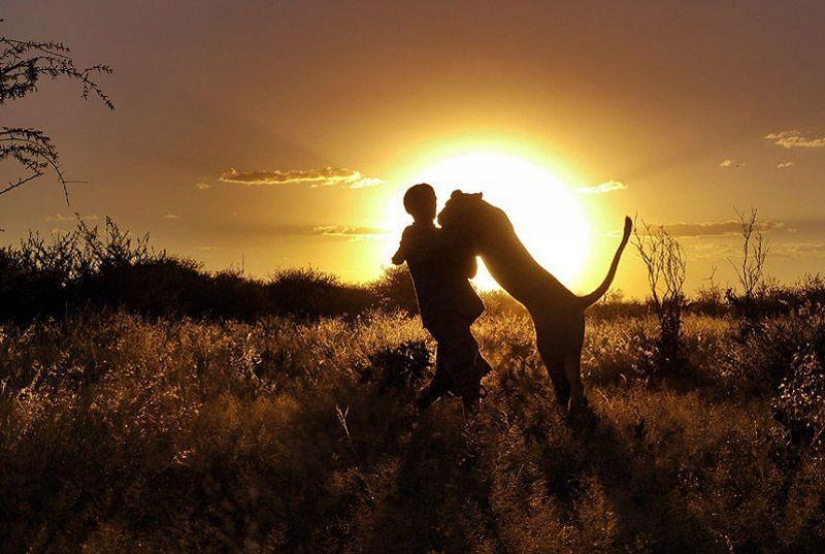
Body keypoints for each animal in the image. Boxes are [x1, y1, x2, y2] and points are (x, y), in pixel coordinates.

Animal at [438, 190, 632, 413]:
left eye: (448, 205)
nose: (439, 218)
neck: (481, 209)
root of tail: (577, 301)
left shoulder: (476, 242)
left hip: (550, 347)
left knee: (564, 384)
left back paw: (561, 411)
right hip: (572, 348)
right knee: (577, 384)